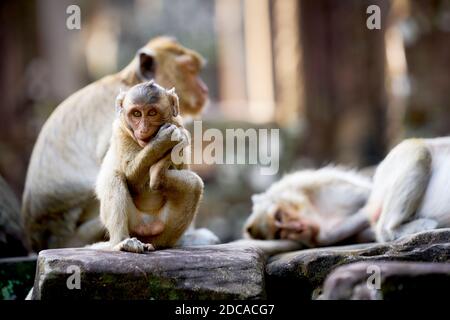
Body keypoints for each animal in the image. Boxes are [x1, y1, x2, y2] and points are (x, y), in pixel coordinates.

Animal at [90, 80, 202, 252]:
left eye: (152, 113)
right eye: (136, 114)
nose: (143, 129)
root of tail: (147, 228)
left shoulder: (181, 127)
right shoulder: (120, 131)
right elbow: (131, 179)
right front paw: (163, 141)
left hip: (164, 229)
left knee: (194, 185)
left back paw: (158, 176)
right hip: (133, 223)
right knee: (114, 177)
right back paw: (122, 242)